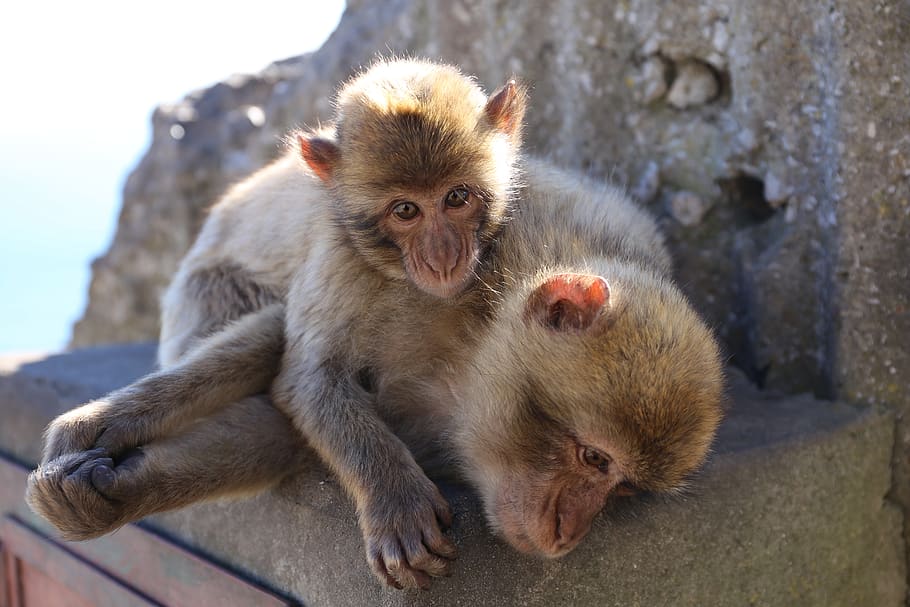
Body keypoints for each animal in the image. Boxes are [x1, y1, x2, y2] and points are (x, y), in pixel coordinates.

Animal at [26, 60, 724, 591]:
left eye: (622, 488)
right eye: (592, 457)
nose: (566, 535)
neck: (476, 339)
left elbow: (279, 420)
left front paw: (120, 487)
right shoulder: (365, 264)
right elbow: (301, 365)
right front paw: (96, 429)